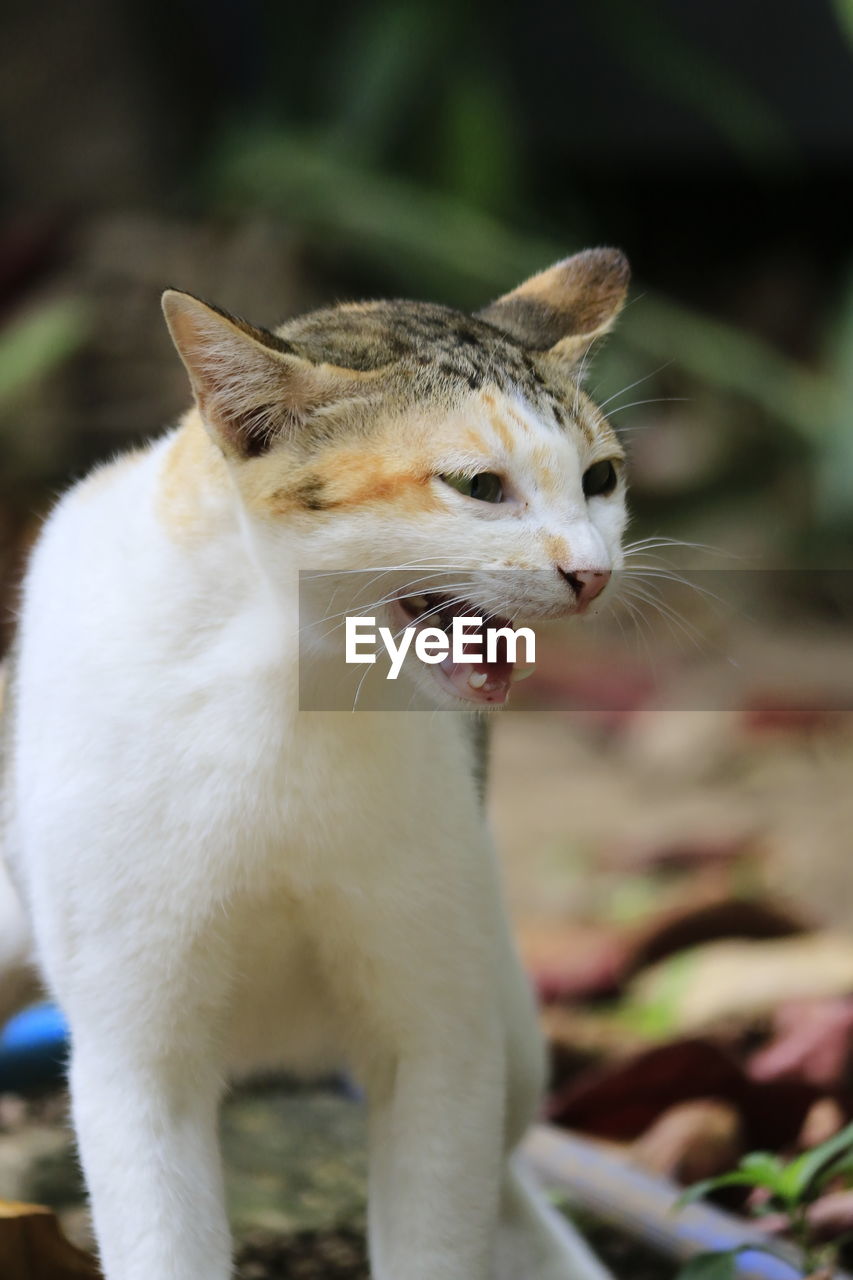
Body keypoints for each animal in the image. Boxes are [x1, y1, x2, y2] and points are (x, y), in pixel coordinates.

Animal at [0, 249, 625, 1280]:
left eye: (601, 477)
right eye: (479, 486)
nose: (594, 573)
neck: (291, 687)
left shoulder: (443, 1038)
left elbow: (436, 1238)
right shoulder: (135, 1054)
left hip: (508, 1014)